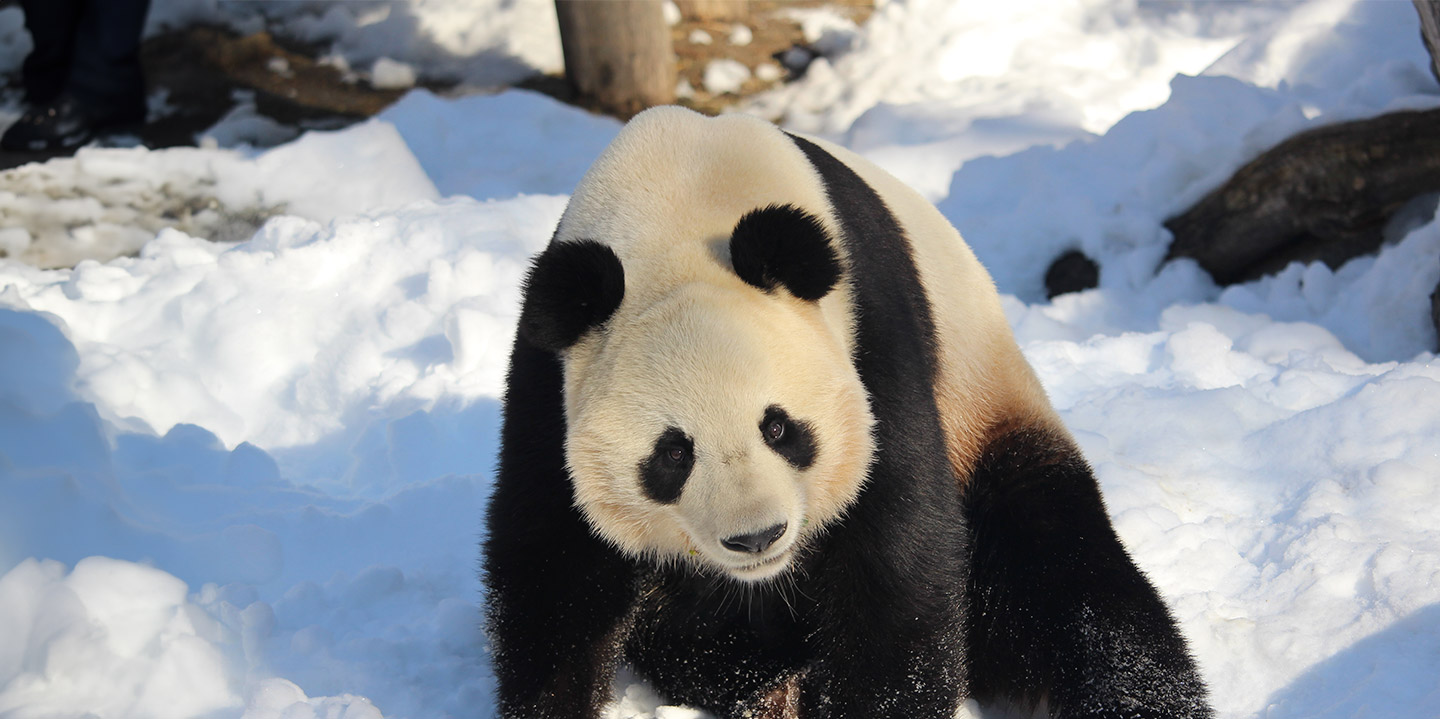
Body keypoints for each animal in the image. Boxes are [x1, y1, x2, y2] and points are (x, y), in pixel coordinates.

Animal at [483, 108, 1215, 719]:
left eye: (779, 427)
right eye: (672, 452)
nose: (757, 537)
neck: (681, 203)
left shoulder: (870, 334)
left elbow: (895, 554)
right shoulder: (551, 379)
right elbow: (554, 562)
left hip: (984, 400)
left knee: (1059, 566)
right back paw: (766, 681)